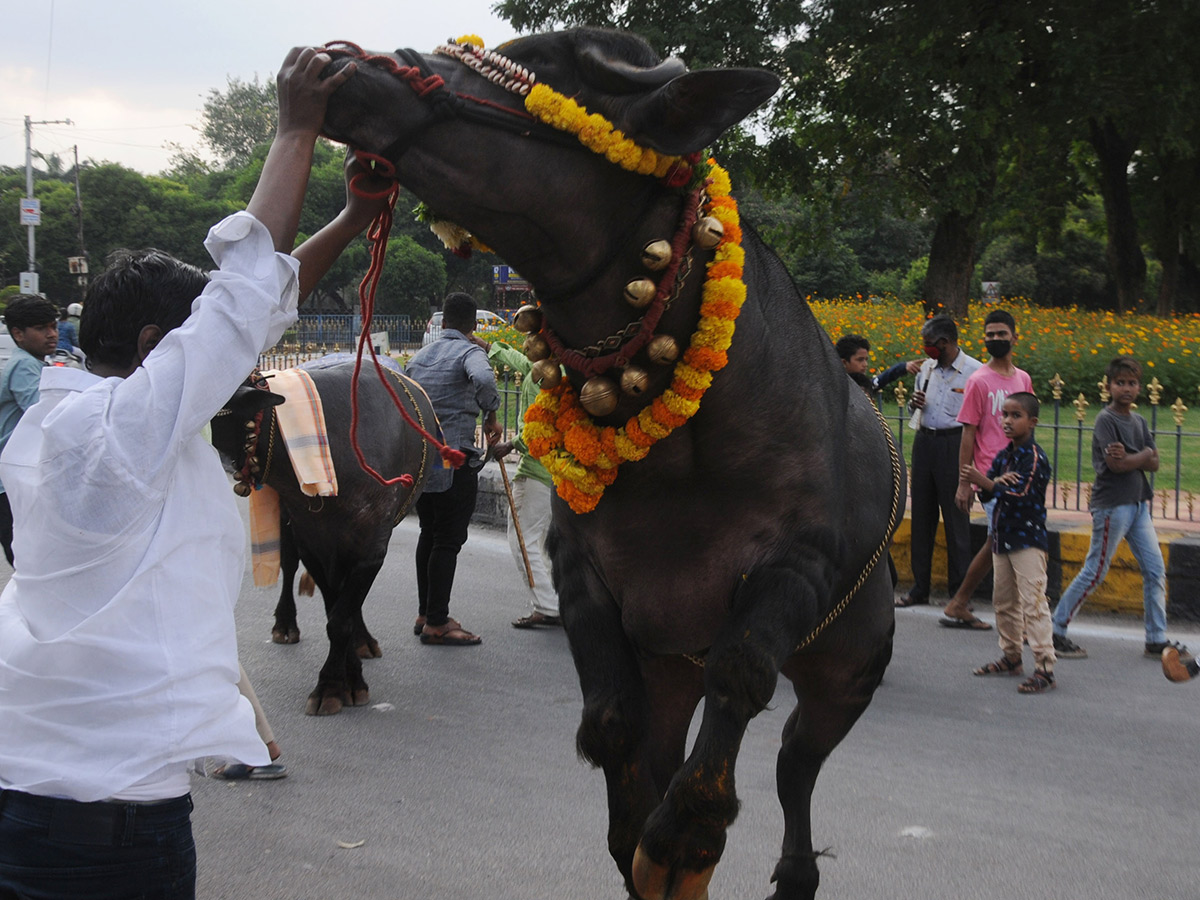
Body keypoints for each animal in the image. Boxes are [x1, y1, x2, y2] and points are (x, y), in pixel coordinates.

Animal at [212, 360, 436, 720]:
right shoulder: (313, 545)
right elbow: (334, 613)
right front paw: (341, 682)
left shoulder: (371, 548)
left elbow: (342, 616)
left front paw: (341, 682)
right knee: (289, 565)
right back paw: (285, 626)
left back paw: (363, 640)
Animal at [319, 28, 902, 900]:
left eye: (541, 68)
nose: (348, 64)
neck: (680, 451)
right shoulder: (584, 572)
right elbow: (612, 727)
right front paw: (640, 840)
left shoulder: (796, 568)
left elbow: (738, 678)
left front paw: (688, 834)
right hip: (674, 667)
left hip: (850, 666)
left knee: (797, 759)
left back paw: (793, 872)